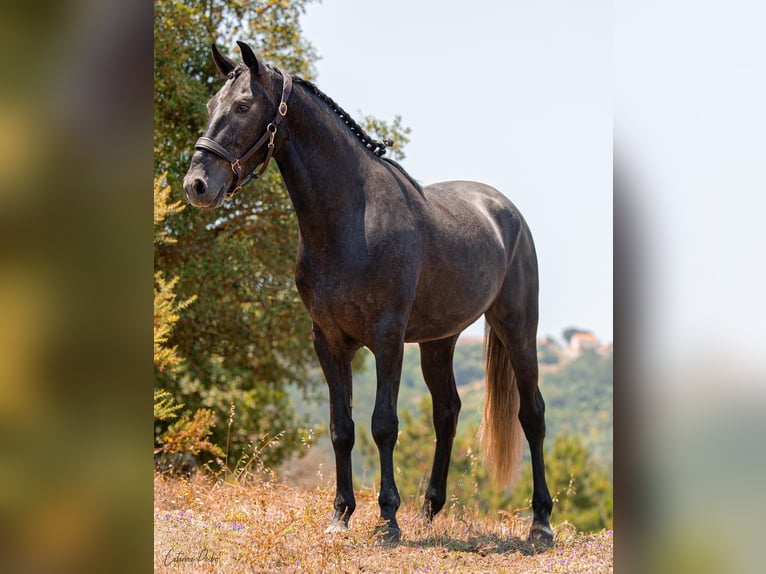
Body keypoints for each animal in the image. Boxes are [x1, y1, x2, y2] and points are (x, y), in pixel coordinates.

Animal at [183, 41, 556, 548]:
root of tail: (504, 209)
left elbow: (383, 425)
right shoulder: (327, 341)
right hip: (439, 341)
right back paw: (429, 513)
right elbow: (342, 428)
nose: (197, 185)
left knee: (532, 415)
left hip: (517, 327)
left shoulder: (387, 339)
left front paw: (388, 521)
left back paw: (540, 524)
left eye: (242, 106)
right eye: (209, 106)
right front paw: (340, 515)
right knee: (447, 413)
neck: (351, 220)